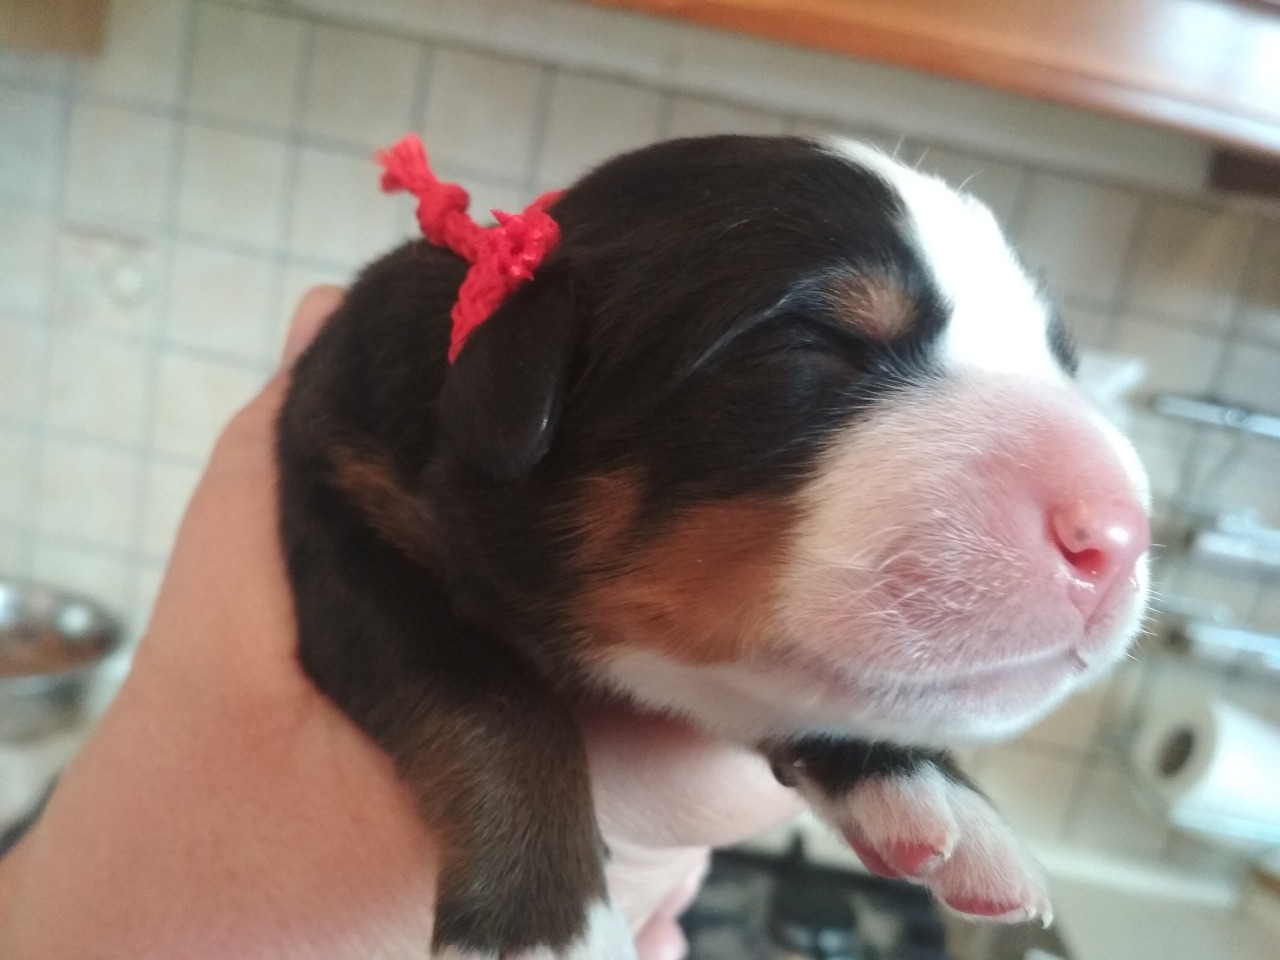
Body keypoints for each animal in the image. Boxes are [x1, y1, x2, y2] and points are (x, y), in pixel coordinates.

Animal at [277, 134, 1150, 959]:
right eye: (816, 340)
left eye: (1062, 362)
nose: (1121, 533)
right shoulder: (340, 500)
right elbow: (489, 698)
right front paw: (544, 924)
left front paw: (927, 788)